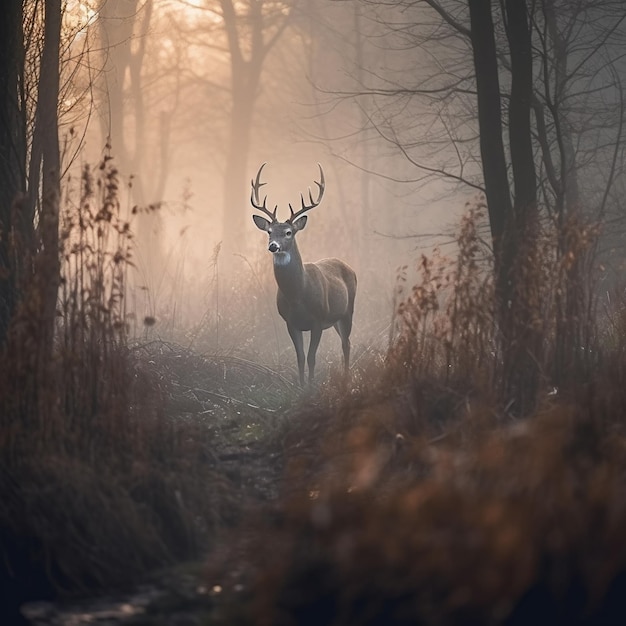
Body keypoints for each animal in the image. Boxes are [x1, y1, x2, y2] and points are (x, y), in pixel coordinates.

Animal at [250, 161, 356, 386]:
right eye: (269, 232)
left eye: (288, 232)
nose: (273, 246)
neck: (298, 295)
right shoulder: (290, 322)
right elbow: (299, 357)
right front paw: (300, 386)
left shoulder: (318, 319)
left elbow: (311, 357)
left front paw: (311, 386)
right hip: (336, 319)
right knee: (345, 342)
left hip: (347, 311)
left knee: (346, 344)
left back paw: (346, 379)